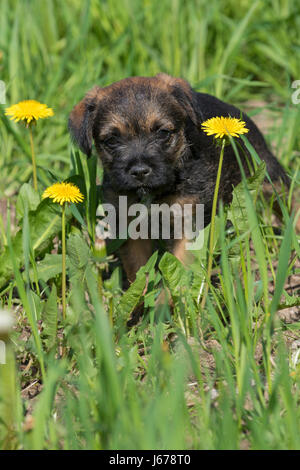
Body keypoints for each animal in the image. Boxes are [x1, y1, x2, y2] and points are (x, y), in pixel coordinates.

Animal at [69, 74, 290, 284]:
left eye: (162, 133)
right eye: (112, 140)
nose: (139, 171)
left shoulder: (189, 224)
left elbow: (181, 268)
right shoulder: (131, 226)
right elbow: (138, 269)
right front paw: (142, 298)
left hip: (270, 176)